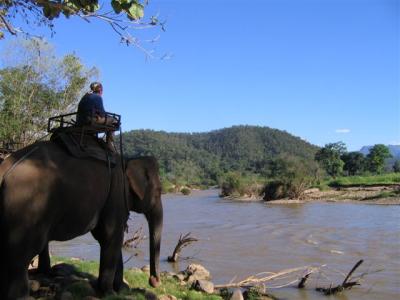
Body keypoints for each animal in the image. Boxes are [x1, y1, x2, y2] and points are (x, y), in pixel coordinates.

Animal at [0, 139, 163, 298]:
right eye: (159, 190)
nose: (154, 281)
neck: (128, 159)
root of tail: (4, 170)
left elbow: (108, 238)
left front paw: (122, 289)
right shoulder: (116, 194)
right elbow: (111, 236)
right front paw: (109, 293)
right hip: (27, 207)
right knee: (21, 256)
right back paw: (22, 295)